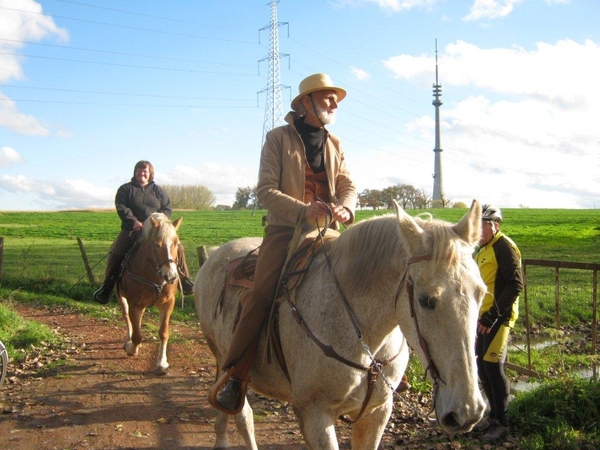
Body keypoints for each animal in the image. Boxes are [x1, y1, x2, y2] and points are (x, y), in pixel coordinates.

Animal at [116, 213, 183, 374]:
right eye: (157, 244)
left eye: (176, 243)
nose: (171, 276)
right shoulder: (134, 303)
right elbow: (137, 336)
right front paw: (131, 348)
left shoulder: (167, 303)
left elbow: (163, 333)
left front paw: (162, 363)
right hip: (122, 298)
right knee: (127, 317)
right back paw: (129, 339)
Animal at [196, 201, 488, 450]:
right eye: (426, 300)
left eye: (482, 293)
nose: (467, 411)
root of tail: (216, 254)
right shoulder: (314, 417)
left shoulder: (376, 413)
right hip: (223, 357)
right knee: (242, 413)